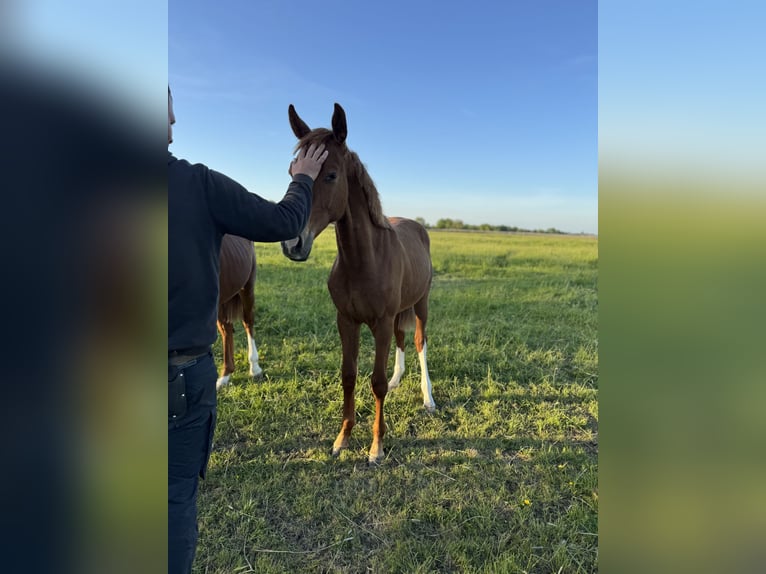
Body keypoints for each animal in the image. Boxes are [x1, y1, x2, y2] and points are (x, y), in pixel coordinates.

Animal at [281, 103, 436, 464]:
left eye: (331, 174)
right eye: (292, 171)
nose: (293, 244)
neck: (364, 262)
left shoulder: (380, 322)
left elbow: (375, 381)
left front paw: (376, 446)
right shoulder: (347, 321)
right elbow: (348, 375)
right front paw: (343, 438)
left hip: (420, 304)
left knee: (419, 341)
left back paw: (428, 398)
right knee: (401, 340)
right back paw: (397, 381)